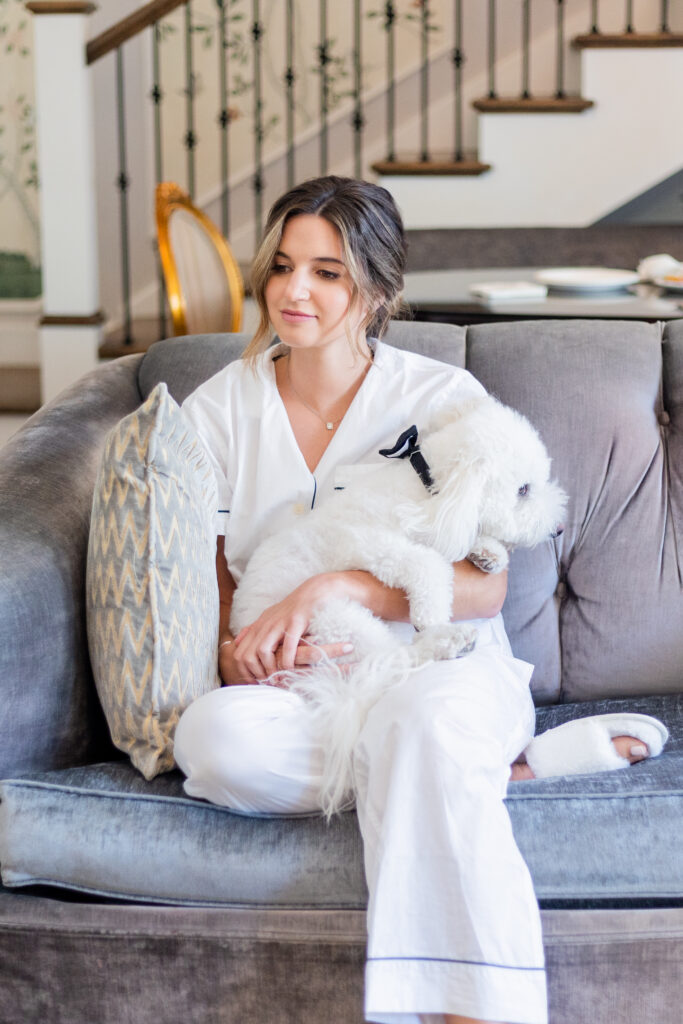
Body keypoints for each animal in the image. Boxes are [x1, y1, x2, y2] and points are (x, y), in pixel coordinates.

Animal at [229, 393, 573, 815]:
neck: (428, 491)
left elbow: (453, 541)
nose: (558, 529)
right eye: (523, 489)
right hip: (332, 619)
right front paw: (434, 616)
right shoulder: (372, 545)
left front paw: (487, 552)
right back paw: (447, 640)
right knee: (397, 656)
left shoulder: (438, 524)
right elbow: (429, 565)